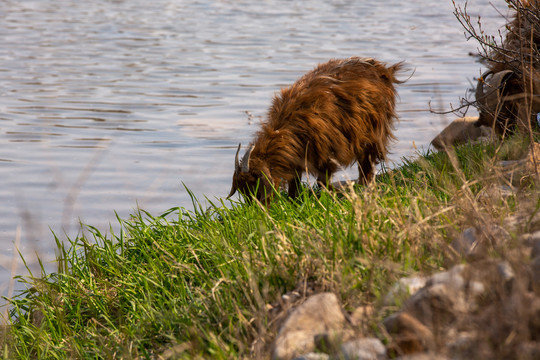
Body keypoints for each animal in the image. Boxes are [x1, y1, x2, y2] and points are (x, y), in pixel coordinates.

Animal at [226, 56, 402, 202]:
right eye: (242, 192)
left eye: (256, 186)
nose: (259, 209)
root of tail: (382, 69)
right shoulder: (296, 159)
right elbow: (294, 183)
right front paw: (294, 201)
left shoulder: (327, 152)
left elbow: (321, 181)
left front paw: (332, 195)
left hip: (374, 130)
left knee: (367, 160)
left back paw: (366, 186)